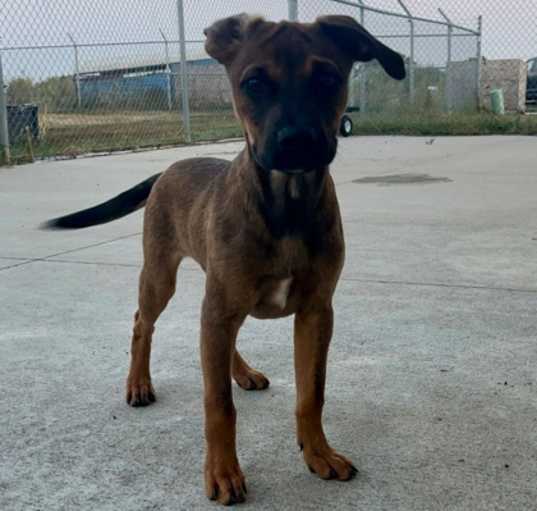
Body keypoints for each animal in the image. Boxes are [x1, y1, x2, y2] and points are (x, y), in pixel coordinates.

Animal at [44, 14, 402, 506]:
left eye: (328, 79)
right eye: (253, 83)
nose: (297, 142)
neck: (286, 207)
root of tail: (168, 167)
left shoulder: (315, 311)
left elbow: (312, 393)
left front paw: (318, 453)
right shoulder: (220, 310)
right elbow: (218, 404)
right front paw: (223, 473)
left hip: (222, 297)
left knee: (222, 339)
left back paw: (242, 373)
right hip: (163, 277)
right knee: (142, 323)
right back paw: (139, 384)